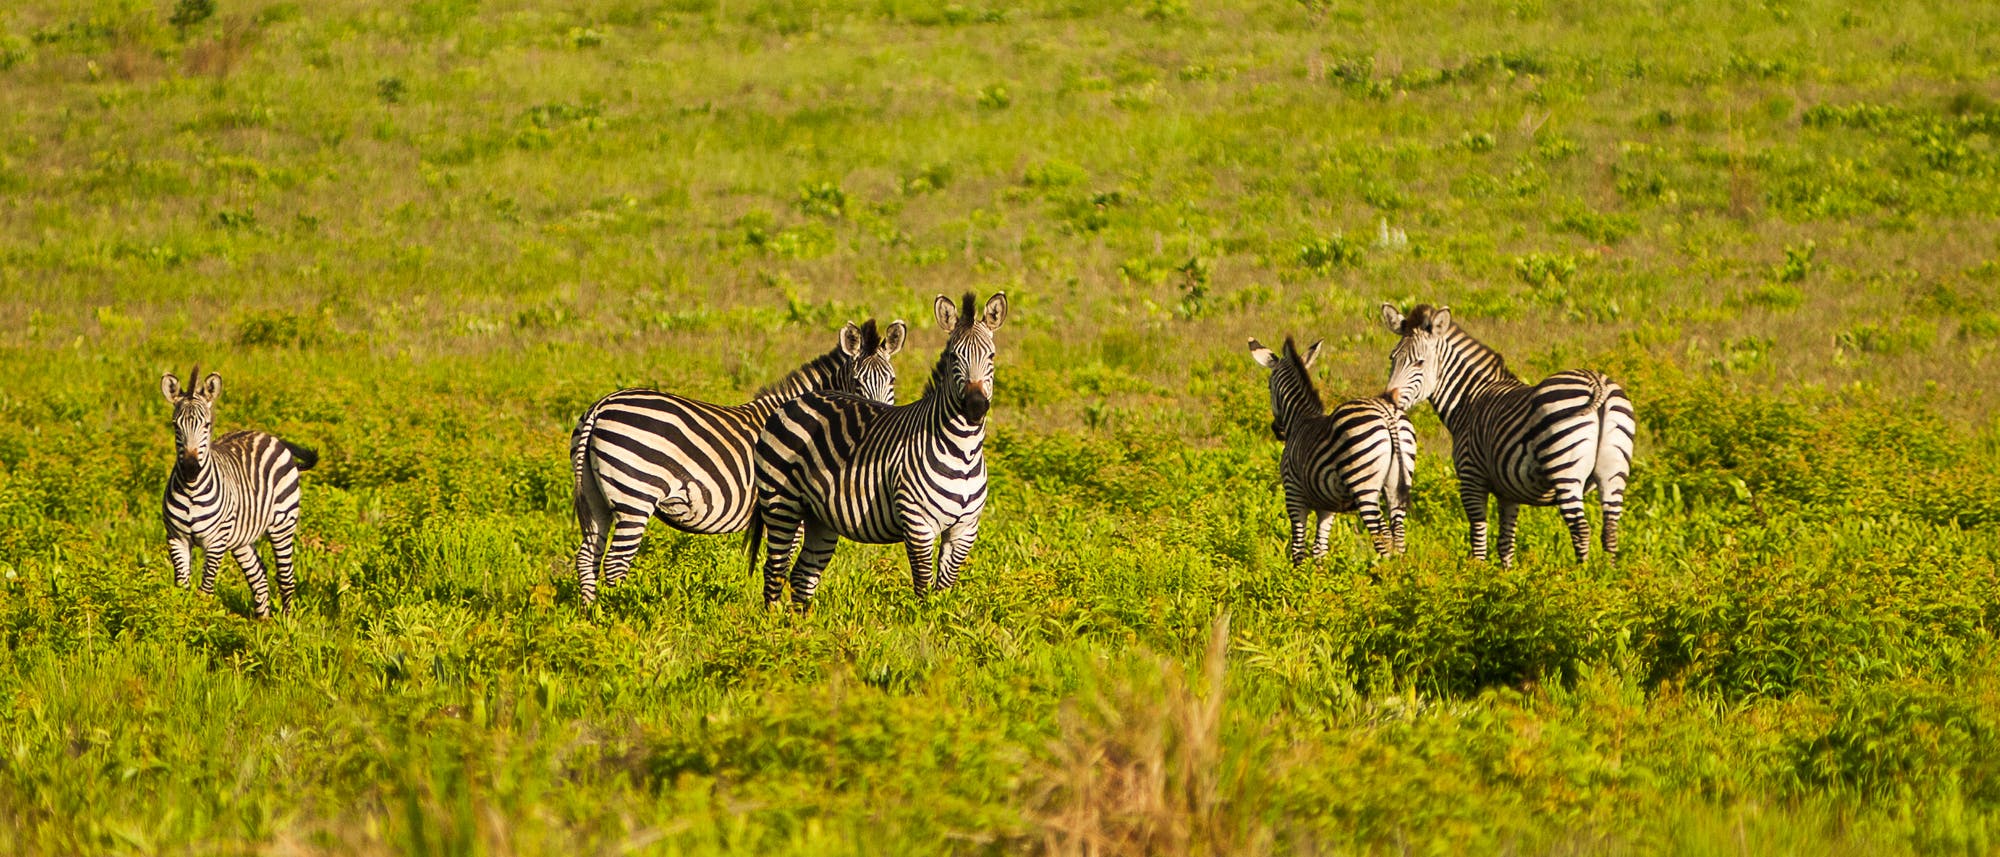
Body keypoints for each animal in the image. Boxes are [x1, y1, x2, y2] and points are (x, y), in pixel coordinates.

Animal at [159, 368, 318, 618]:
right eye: (175, 425)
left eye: (207, 425)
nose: (191, 469)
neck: (192, 490)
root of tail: (269, 436)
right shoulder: (176, 539)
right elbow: (181, 590)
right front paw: (180, 620)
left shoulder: (215, 542)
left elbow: (205, 592)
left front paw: (200, 623)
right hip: (242, 537)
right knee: (258, 575)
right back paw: (262, 623)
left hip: (283, 523)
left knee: (286, 577)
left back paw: (286, 623)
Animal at [569, 319, 906, 604]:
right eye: (856, 381)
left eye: (892, 381)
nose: (877, 417)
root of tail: (601, 406)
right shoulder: (788, 506)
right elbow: (783, 563)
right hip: (635, 494)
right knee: (615, 562)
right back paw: (618, 612)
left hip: (596, 496)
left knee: (587, 556)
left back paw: (592, 616)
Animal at [750, 292, 1006, 608]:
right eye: (954, 357)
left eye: (991, 357)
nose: (975, 406)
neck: (963, 452)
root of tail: (794, 401)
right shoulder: (918, 524)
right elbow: (923, 591)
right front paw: (923, 621)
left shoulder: (964, 530)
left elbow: (943, 591)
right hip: (781, 504)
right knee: (775, 570)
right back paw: (773, 622)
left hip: (818, 516)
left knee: (802, 576)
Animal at [1248, 336, 1416, 562]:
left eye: (1269, 387)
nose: (1277, 431)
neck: (1300, 419)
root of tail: (1386, 412)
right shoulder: (1328, 506)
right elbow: (1320, 549)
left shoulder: (1294, 494)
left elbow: (1298, 548)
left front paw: (1298, 572)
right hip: (1397, 483)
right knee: (1398, 535)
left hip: (1364, 484)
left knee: (1383, 536)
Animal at [1379, 303, 1635, 566]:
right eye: (1392, 358)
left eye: (1419, 362)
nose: (1388, 398)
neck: (1470, 400)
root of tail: (1596, 382)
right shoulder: (1508, 491)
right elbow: (1506, 542)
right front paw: (1506, 574)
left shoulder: (1472, 478)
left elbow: (1478, 537)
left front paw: (1477, 572)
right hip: (1613, 472)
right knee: (1610, 529)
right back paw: (1606, 574)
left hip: (1566, 471)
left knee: (1581, 529)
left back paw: (1581, 574)